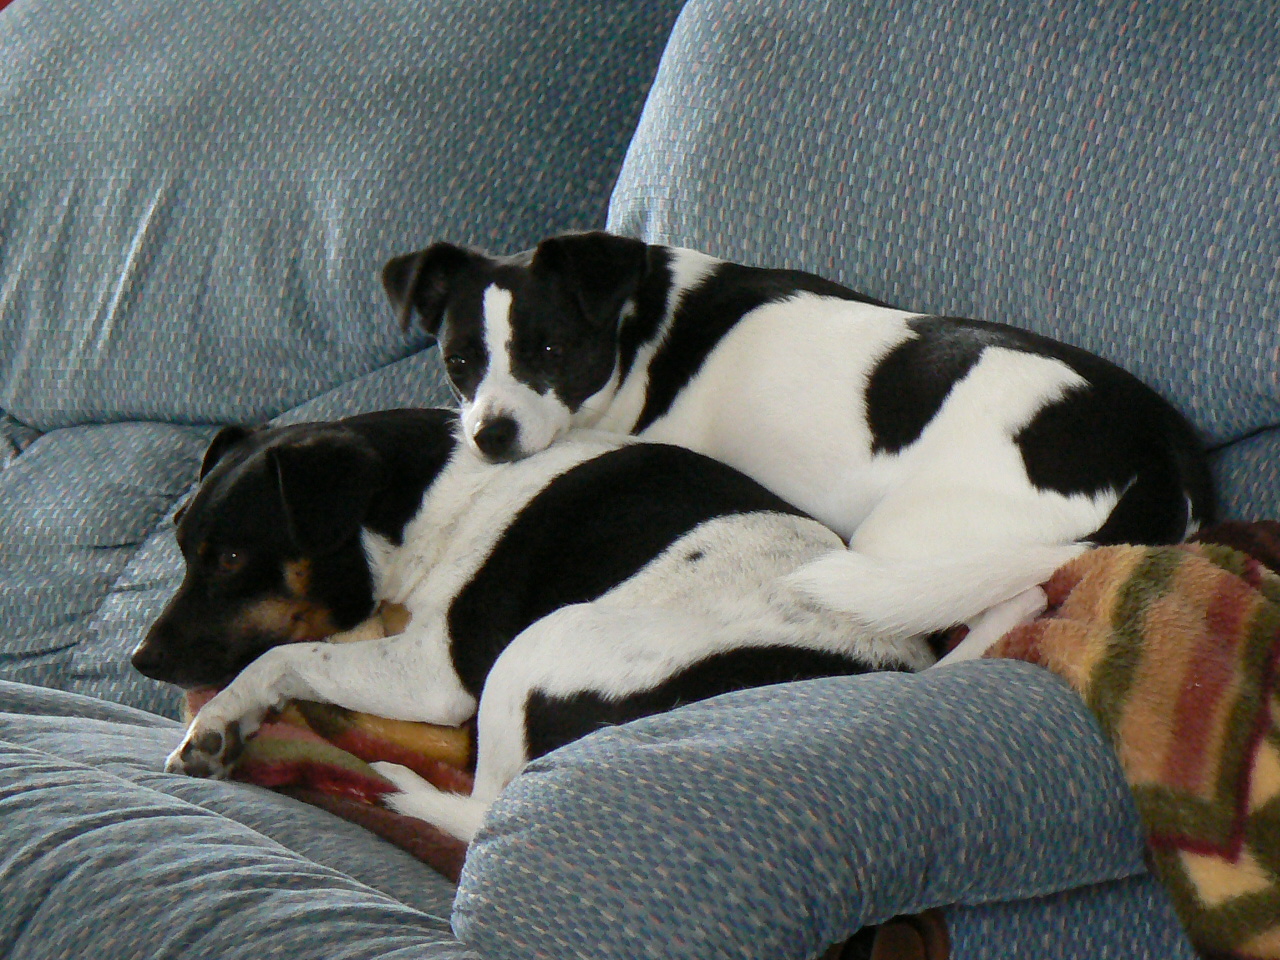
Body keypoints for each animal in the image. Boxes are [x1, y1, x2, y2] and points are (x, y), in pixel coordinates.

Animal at [132, 412, 931, 839]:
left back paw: (391, 778)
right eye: (181, 547)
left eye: (233, 557)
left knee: (484, 805)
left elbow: (280, 658)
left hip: (541, 642)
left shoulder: (436, 673)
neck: (416, 499)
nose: (140, 660)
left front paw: (218, 721)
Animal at [378, 234, 1208, 655]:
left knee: (1015, 596)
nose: (489, 436)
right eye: (459, 363)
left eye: (549, 351)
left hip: (907, 543)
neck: (642, 327)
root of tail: (1163, 457)